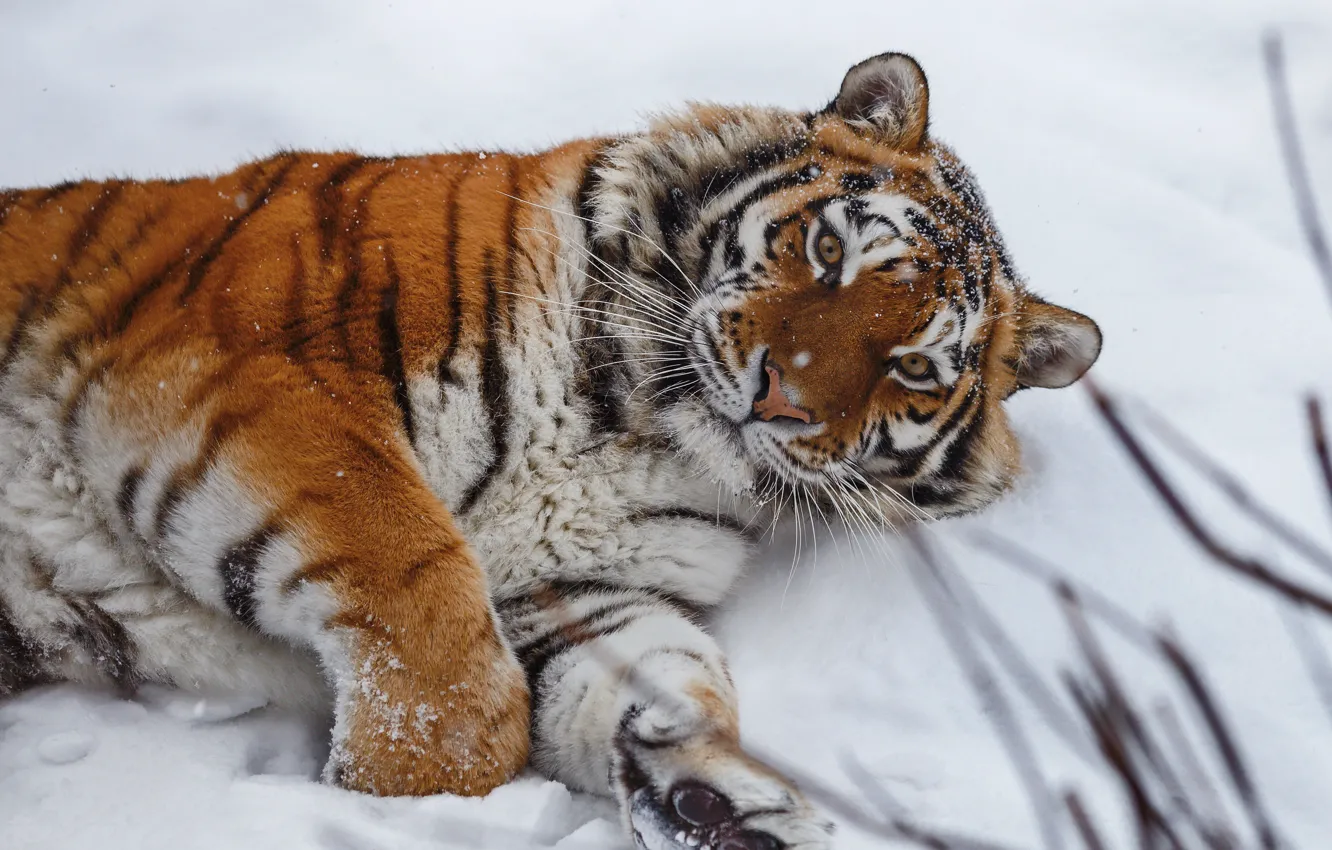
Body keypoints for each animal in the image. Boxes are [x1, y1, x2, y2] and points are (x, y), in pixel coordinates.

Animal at [0, 52, 1100, 849]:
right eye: (832, 253)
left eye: (911, 366)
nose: (780, 398)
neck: (642, 427)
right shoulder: (246, 360)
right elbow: (428, 614)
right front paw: (396, 803)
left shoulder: (571, 586)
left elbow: (664, 672)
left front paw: (726, 795)